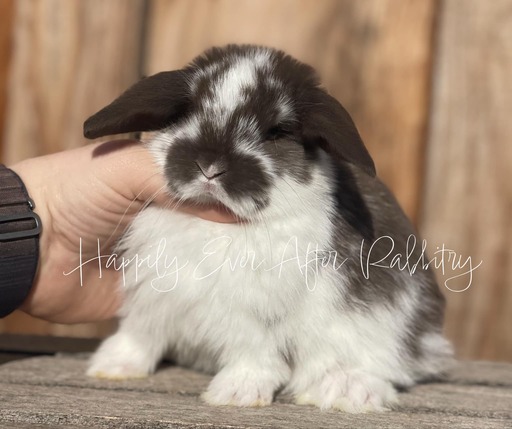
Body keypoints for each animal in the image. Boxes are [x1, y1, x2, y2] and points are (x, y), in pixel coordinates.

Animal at [83, 44, 452, 412]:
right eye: (186, 113)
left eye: (276, 131)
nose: (210, 167)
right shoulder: (153, 295)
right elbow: (140, 334)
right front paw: (111, 366)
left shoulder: (255, 315)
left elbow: (254, 355)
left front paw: (234, 394)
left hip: (385, 325)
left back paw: (346, 391)